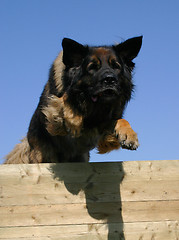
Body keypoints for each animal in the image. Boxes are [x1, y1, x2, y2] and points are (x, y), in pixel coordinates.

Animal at [4, 36, 143, 163]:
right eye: (92, 67)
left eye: (116, 66)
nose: (110, 79)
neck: (94, 107)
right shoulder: (52, 111)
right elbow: (66, 98)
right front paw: (74, 120)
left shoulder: (102, 128)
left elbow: (120, 120)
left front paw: (129, 135)